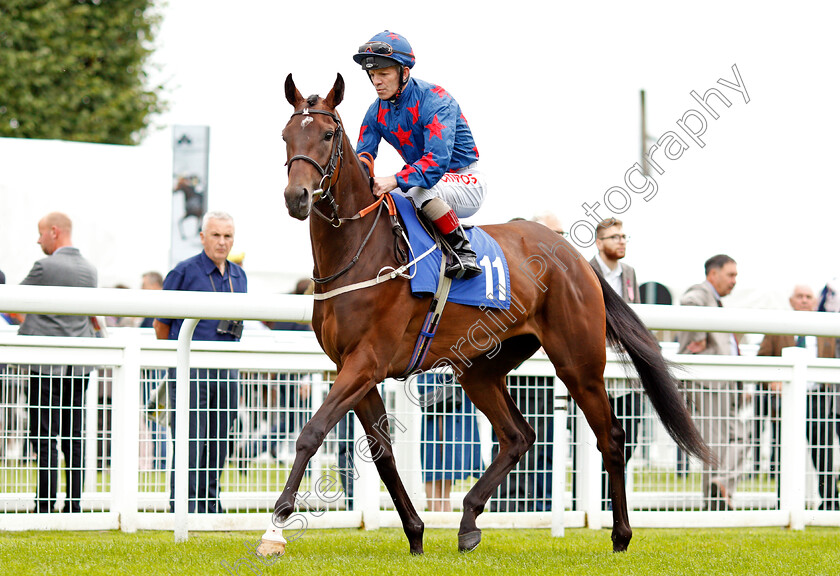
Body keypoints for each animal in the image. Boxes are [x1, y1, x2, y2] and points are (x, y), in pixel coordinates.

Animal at [262, 74, 708, 556]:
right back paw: (468, 521)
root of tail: (576, 256)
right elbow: (382, 453)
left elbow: (312, 432)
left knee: (610, 437)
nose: (296, 197)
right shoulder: (351, 367)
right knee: (519, 435)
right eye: (285, 136)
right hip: (480, 367)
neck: (360, 252)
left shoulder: (366, 362)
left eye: (328, 134)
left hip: (579, 361)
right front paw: (416, 533)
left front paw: (275, 530)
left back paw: (621, 535)